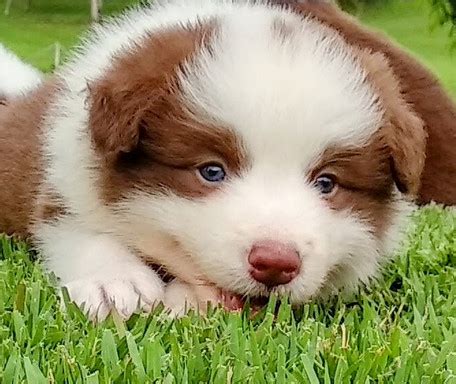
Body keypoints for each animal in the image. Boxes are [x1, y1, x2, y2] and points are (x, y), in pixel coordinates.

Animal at [0, 0, 448, 320]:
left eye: (327, 183)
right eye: (211, 171)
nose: (275, 263)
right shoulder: (61, 170)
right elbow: (71, 225)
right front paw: (113, 283)